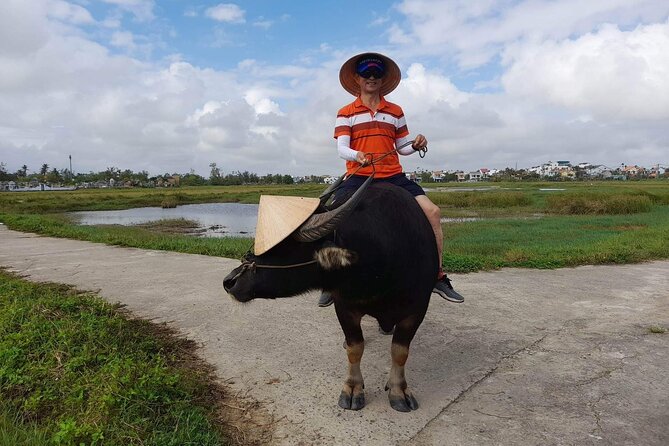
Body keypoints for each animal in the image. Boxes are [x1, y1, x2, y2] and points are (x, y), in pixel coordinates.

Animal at [223, 179, 438, 412]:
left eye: (283, 248)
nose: (230, 281)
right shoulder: (344, 306)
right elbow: (355, 348)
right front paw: (352, 388)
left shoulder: (417, 309)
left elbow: (400, 352)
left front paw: (399, 390)